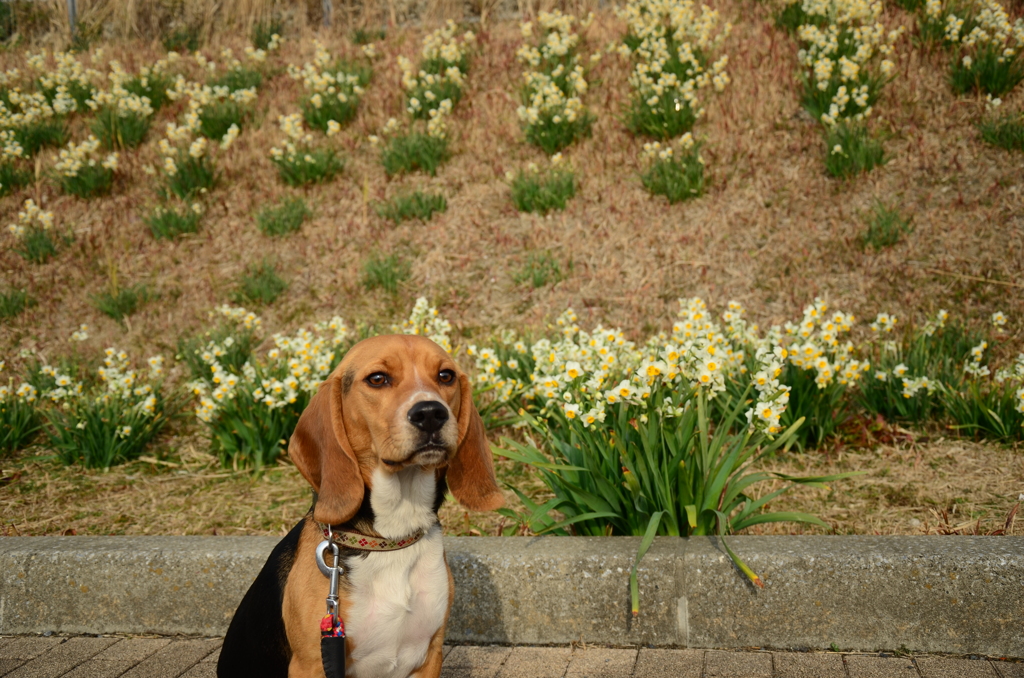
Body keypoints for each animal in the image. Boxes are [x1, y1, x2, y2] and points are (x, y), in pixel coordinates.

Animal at [217, 333, 503, 678]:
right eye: (378, 379)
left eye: (445, 375)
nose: (431, 413)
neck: (391, 537)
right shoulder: (311, 663)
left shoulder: (430, 656)